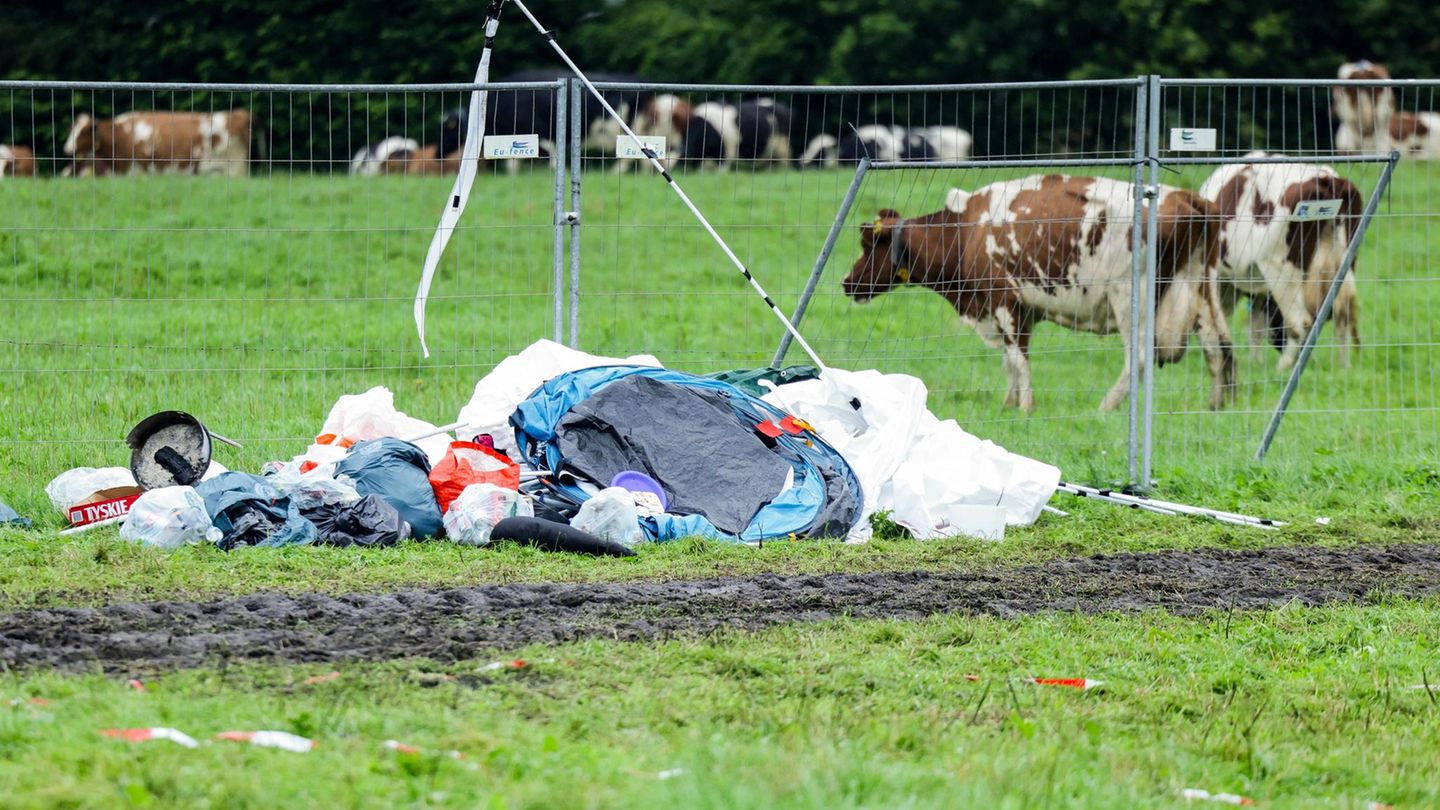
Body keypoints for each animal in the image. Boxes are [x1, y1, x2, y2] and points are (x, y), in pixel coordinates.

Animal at [63, 110, 252, 177]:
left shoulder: (138, 171)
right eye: (71, 129)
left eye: (83, 131)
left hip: (234, 170)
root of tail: (238, 115)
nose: (67, 149)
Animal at [844, 175, 1236, 413]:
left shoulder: (1005, 302)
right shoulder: (1018, 310)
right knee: (1217, 349)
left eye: (868, 244)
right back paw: (1215, 405)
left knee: (1137, 359)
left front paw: (1025, 407)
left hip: (1130, 298)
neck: (968, 230)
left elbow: (1018, 360)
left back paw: (1105, 408)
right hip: (1198, 291)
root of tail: (1184, 195)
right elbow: (1010, 362)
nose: (847, 282)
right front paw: (1008, 403)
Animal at [1199, 154, 1364, 370]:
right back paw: (1343, 368)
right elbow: (1255, 324)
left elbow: (1218, 318)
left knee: (1300, 321)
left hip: (1280, 269)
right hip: (1345, 264)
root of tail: (1326, 179)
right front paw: (1256, 363)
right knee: (1342, 315)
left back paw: (1284, 367)